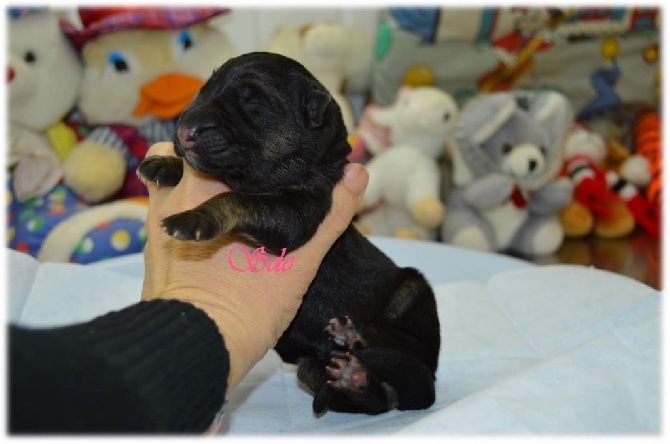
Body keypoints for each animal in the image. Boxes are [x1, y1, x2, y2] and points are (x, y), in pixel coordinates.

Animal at [138, 52, 440, 416]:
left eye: (253, 101)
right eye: (205, 89)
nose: (184, 130)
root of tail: (427, 378)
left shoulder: (300, 211)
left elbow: (235, 198)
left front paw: (195, 217)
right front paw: (163, 164)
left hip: (414, 293)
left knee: (401, 344)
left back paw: (356, 333)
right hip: (315, 366)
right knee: (376, 396)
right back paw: (353, 374)